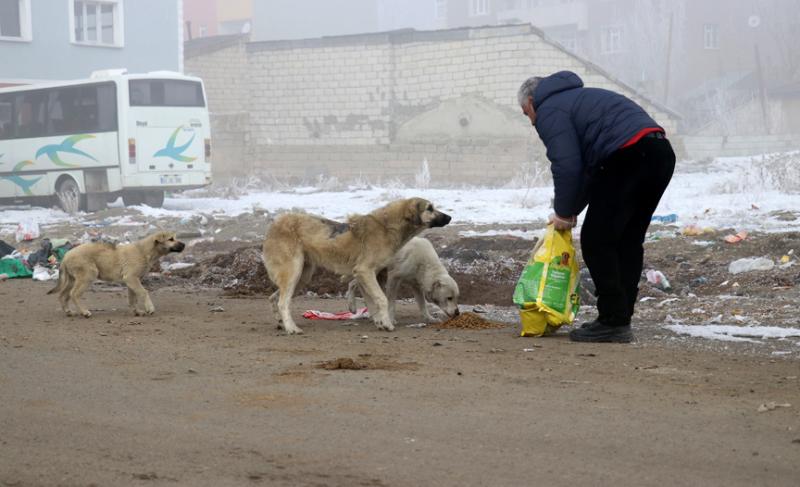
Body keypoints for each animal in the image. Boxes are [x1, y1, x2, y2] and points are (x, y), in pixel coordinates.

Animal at [47, 232, 185, 318]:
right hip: (88, 275)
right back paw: (85, 312)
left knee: (62, 295)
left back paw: (68, 311)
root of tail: (66, 255)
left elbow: (132, 298)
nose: (184, 244)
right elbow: (143, 292)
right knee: (74, 294)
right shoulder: (131, 278)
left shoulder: (132, 281)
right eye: (171, 239)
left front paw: (137, 311)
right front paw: (150, 308)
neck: (144, 251)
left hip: (72, 279)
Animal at [262, 198, 450, 336]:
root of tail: (274, 224)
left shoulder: (368, 275)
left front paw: (380, 322)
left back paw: (280, 322)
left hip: (302, 276)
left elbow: (372, 302)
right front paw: (387, 323)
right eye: (430, 208)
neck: (387, 228)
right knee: (283, 302)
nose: (450, 217)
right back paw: (291, 328)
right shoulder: (364, 271)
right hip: (294, 272)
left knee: (274, 297)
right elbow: (382, 299)